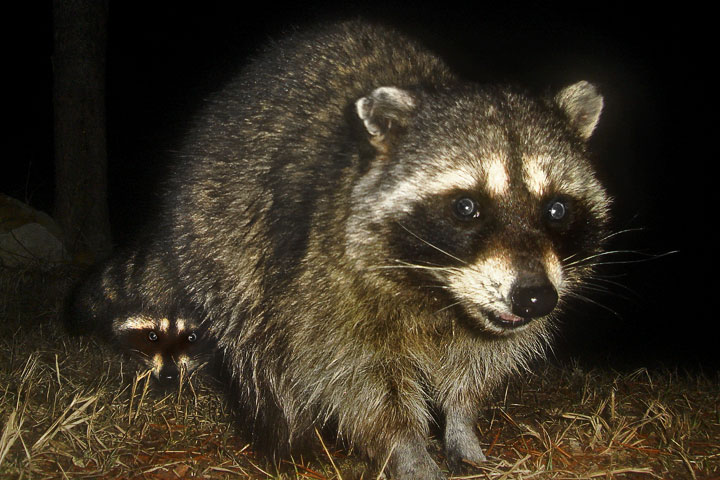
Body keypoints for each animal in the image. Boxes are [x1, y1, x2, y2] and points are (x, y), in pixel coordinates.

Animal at [79, 19, 612, 480]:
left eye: (557, 209)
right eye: (466, 207)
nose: (536, 298)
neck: (436, 291)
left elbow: (478, 364)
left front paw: (463, 429)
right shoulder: (322, 278)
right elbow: (354, 377)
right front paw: (407, 451)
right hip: (220, 242)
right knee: (262, 350)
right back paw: (287, 438)